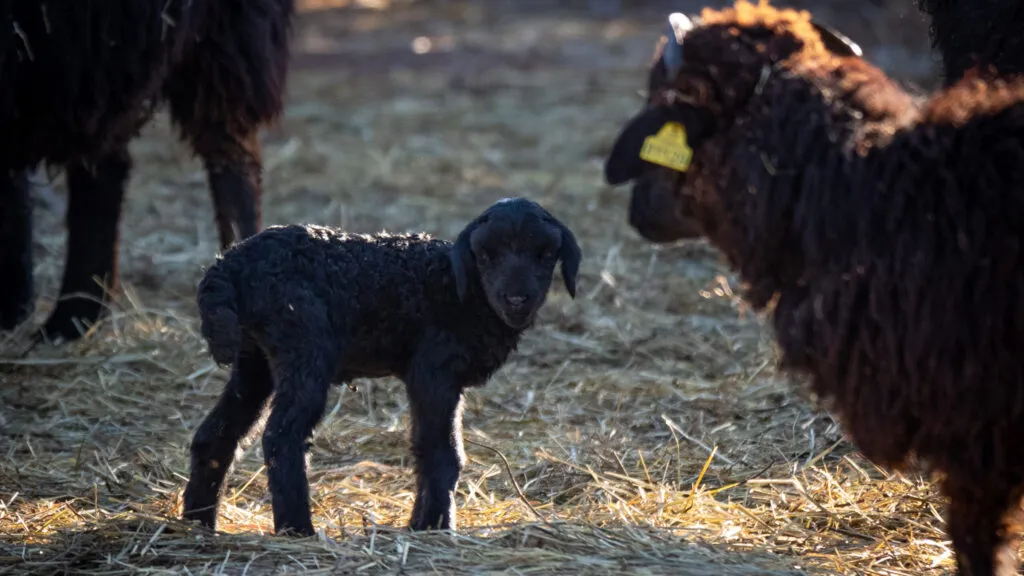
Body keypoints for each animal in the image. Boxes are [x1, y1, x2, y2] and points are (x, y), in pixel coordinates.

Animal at [181, 197, 582, 537]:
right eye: (485, 255)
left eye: (546, 254)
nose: (516, 299)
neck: (462, 291)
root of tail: (227, 266)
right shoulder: (434, 369)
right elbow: (443, 451)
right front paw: (437, 526)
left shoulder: (427, 377)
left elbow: (424, 445)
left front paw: (419, 525)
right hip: (303, 344)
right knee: (281, 436)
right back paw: (298, 530)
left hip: (254, 358)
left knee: (216, 435)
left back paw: (198, 524)